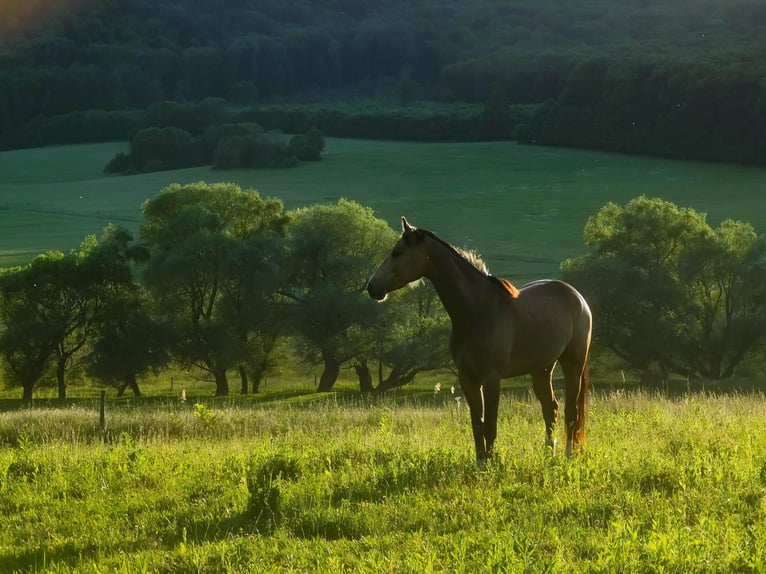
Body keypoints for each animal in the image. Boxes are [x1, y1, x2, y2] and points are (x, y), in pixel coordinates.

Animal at [366, 217, 592, 464]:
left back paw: (568, 454)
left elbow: (490, 425)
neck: (478, 311)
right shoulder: (467, 378)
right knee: (551, 409)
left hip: (573, 363)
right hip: (541, 368)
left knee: (571, 411)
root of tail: (577, 297)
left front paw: (489, 463)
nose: (372, 287)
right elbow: (477, 425)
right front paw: (481, 462)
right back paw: (548, 454)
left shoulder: (491, 378)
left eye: (397, 252)